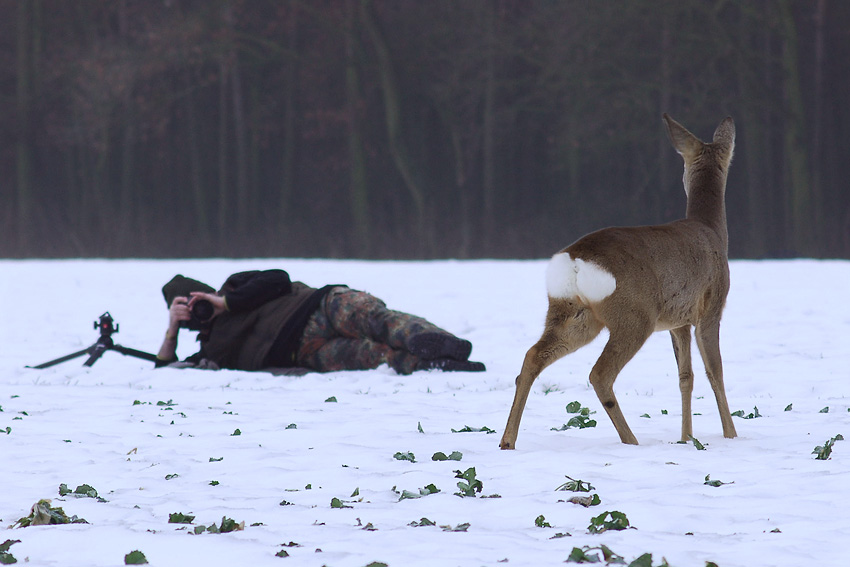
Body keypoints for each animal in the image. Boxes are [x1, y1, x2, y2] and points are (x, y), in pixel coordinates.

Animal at [496, 115, 736, 450]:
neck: (711, 230)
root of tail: (574, 259)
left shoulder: (677, 320)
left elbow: (685, 376)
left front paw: (686, 437)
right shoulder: (711, 306)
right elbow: (715, 371)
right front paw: (731, 435)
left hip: (573, 315)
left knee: (532, 356)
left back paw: (507, 440)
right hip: (634, 315)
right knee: (600, 373)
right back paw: (631, 440)